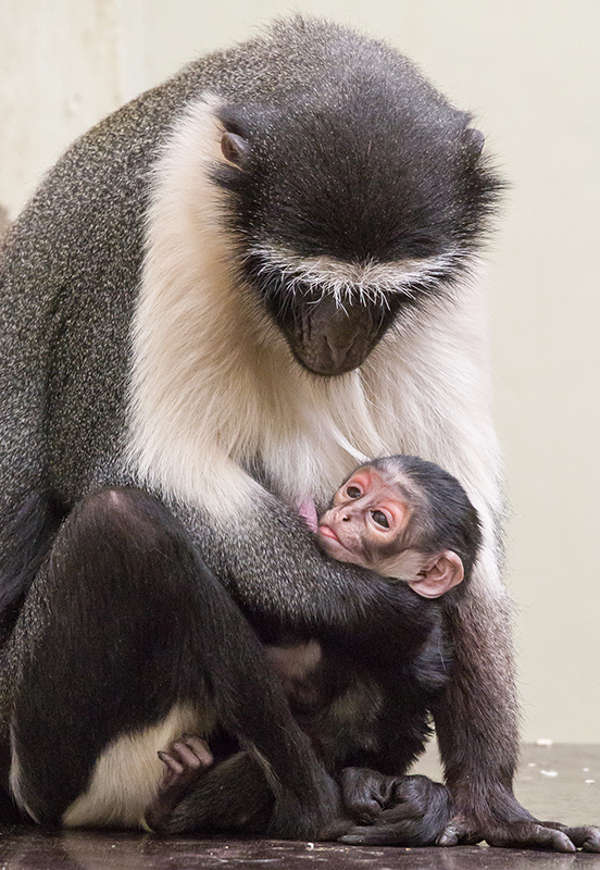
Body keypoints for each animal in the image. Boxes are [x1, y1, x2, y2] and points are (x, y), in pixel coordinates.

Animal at [0, 18, 596, 852]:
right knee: (124, 525)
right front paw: (388, 616)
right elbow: (134, 466)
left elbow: (467, 528)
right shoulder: (152, 220)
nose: (338, 341)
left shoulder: (449, 262)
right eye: (301, 285)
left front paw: (493, 807)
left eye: (385, 295)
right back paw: (306, 804)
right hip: (51, 759)